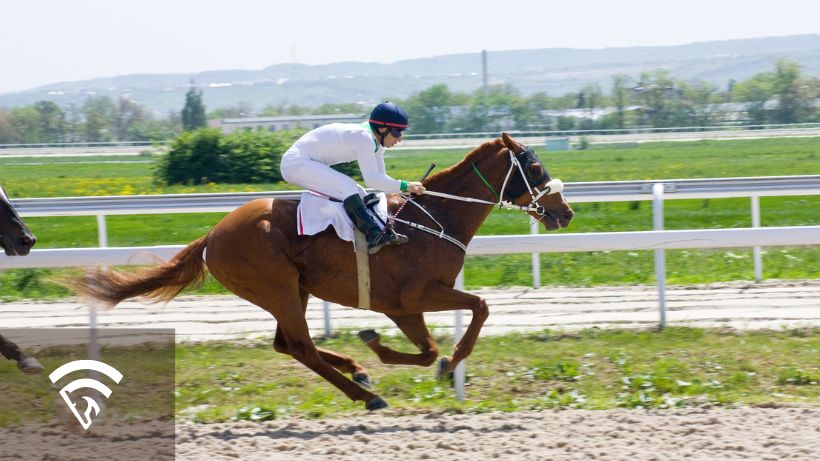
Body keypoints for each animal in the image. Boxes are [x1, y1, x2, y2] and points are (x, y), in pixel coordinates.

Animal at [70, 131, 572, 408]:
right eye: (534, 167)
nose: (564, 212)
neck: (435, 218)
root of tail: (212, 235)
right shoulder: (412, 297)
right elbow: (476, 312)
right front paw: (446, 365)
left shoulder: (402, 307)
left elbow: (430, 347)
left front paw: (390, 352)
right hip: (278, 289)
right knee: (302, 348)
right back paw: (366, 394)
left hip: (293, 291)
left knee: (287, 344)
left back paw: (358, 371)